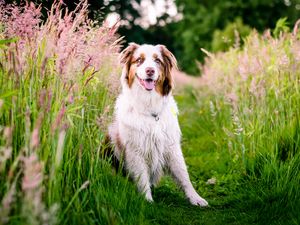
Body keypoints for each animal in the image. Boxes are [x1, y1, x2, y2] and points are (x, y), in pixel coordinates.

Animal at [108, 43, 209, 207]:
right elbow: (142, 177)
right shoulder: (135, 149)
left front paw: (195, 198)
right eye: (139, 60)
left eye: (157, 61)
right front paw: (147, 200)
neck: (150, 107)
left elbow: (184, 175)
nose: (150, 70)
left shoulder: (172, 146)